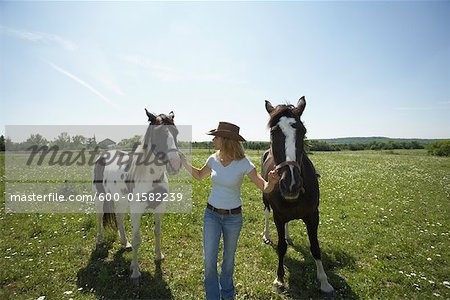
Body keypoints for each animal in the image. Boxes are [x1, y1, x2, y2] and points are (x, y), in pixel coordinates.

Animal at [92, 109, 181, 280]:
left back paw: (124, 242)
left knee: (119, 217)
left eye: (176, 132)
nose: (175, 164)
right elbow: (137, 240)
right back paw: (99, 240)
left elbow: (157, 231)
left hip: (120, 199)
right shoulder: (136, 210)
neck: (151, 176)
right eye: (158, 133)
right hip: (100, 196)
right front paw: (135, 271)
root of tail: (104, 154)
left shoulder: (159, 208)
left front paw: (158, 256)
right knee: (99, 217)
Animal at [260, 97, 334, 294]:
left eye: (303, 131)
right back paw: (267, 236)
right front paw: (279, 279)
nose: (291, 184)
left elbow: (315, 247)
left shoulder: (313, 216)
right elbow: (281, 247)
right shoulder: (278, 216)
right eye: (273, 133)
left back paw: (288, 236)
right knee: (266, 213)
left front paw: (324, 281)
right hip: (266, 200)